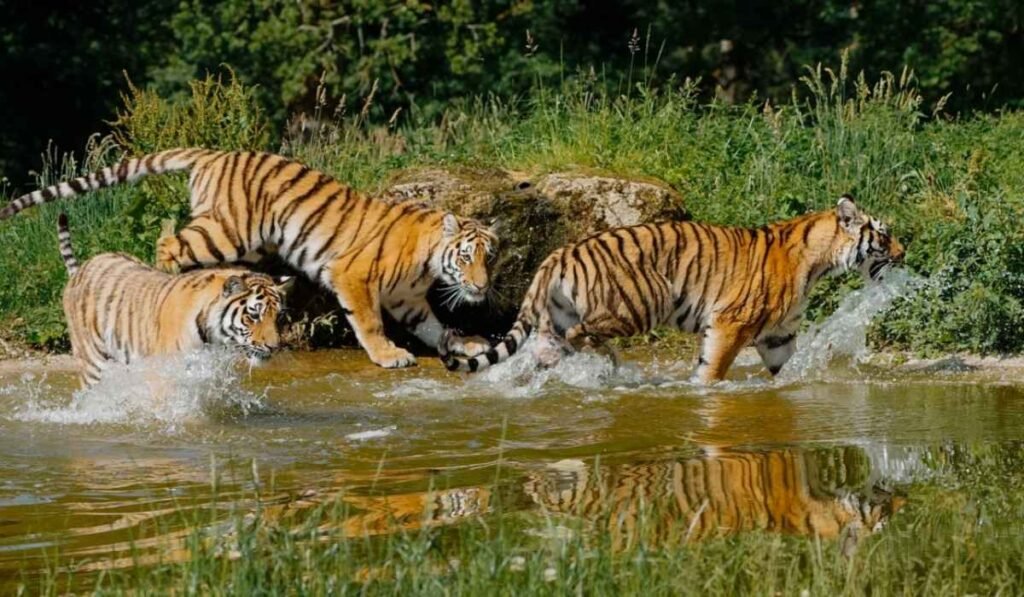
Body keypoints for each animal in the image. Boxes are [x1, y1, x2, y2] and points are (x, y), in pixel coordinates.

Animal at [3, 148, 496, 368]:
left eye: (489, 257)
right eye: (466, 257)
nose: (483, 285)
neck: (428, 260)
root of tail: (213, 152)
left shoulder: (408, 300)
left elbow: (436, 326)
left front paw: (466, 343)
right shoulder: (353, 276)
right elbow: (370, 322)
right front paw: (389, 354)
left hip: (245, 242)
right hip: (225, 232)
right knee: (168, 244)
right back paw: (166, 277)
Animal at [57, 213, 292, 388]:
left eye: (278, 317)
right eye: (253, 315)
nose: (274, 347)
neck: (211, 335)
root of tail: (83, 268)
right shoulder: (165, 373)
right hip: (92, 360)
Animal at [441, 196, 904, 383]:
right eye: (883, 233)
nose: (904, 252)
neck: (818, 261)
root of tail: (560, 252)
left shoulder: (778, 335)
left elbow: (786, 367)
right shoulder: (731, 323)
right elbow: (713, 367)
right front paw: (703, 388)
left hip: (561, 313)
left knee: (548, 343)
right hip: (639, 302)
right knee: (579, 335)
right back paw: (601, 361)